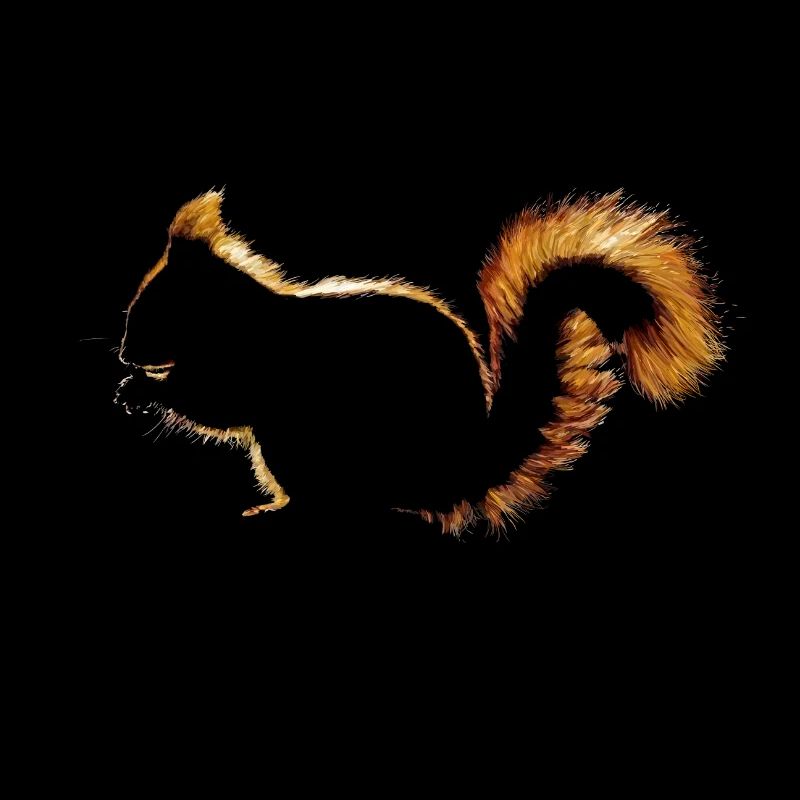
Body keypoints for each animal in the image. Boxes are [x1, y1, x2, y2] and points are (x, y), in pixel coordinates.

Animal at [116, 189, 722, 536]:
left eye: (156, 309)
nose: (124, 352)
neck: (237, 316)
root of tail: (457, 471)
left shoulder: (250, 363)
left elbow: (214, 404)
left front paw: (143, 388)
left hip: (300, 444)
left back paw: (284, 512)